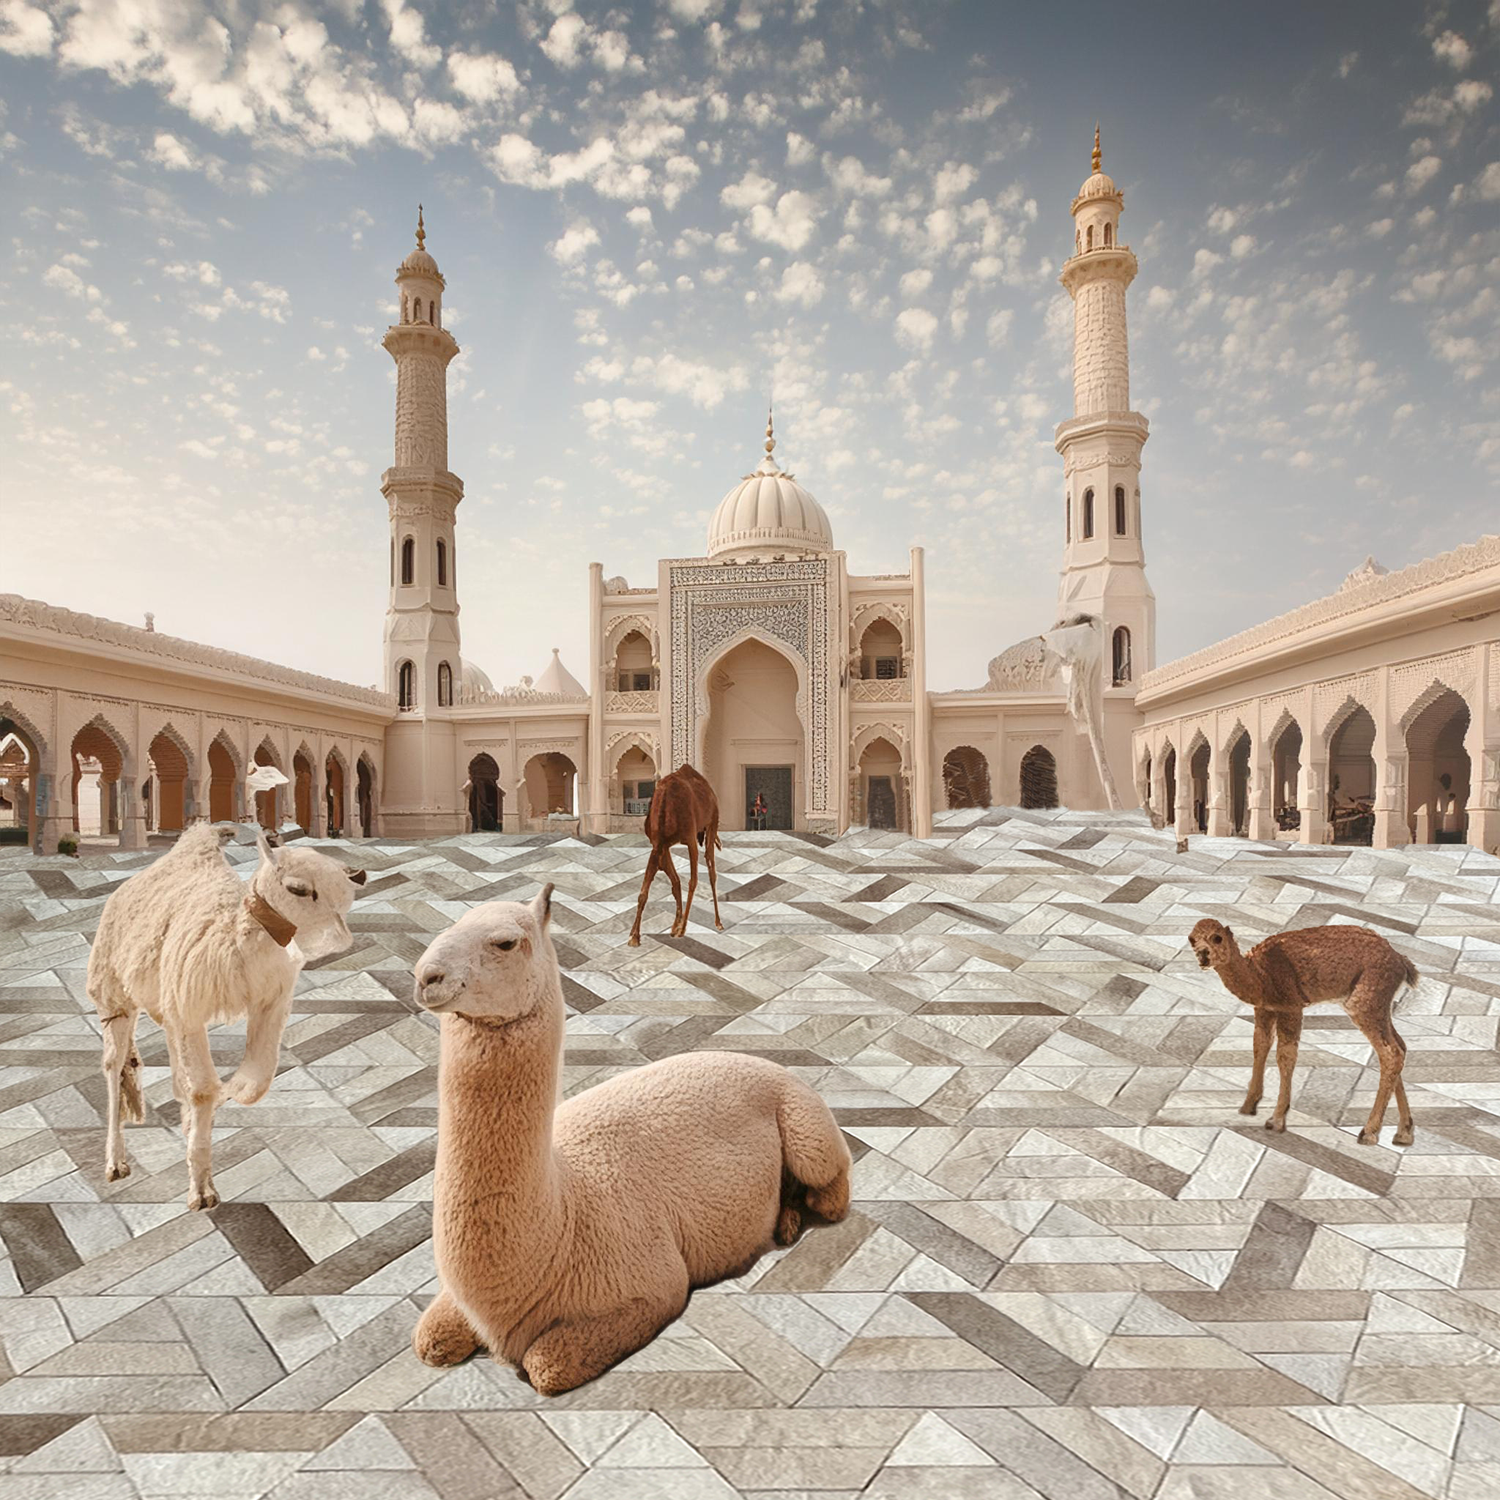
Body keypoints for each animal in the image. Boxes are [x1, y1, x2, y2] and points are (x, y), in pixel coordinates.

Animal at [414, 882, 858, 1398]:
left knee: (832, 1190)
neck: (566, 1211)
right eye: (448, 925)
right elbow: (429, 1339)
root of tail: (759, 1056)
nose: (426, 977)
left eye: (505, 943)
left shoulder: (651, 1287)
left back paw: (791, 1219)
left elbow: (547, 1364)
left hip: (808, 1129)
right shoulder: (454, 1307)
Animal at [630, 768, 723, 942]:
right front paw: (634, 935)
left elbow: (692, 882)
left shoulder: (690, 840)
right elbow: (669, 883)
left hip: (712, 822)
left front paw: (682, 929)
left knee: (711, 870)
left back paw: (718, 922)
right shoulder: (660, 845)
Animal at [1182, 912, 1416, 1146]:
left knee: (1391, 1052)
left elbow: (1286, 1055)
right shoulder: (1265, 1008)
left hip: (1364, 1003)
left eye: (1217, 937)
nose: (1203, 955)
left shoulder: (1291, 1006)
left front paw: (1276, 1120)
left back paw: (1368, 1133)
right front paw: (1248, 1106)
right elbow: (1260, 1045)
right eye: (1192, 939)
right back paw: (1403, 1133)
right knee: (1399, 1047)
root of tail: (1401, 962)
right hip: (1379, 1005)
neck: (1260, 975)